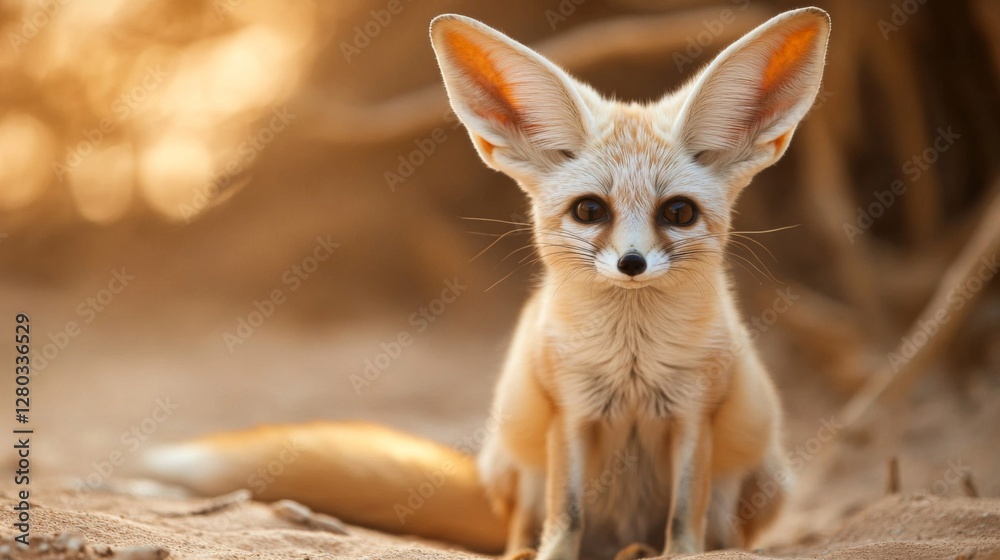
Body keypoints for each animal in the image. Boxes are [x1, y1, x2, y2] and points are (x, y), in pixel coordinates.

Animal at [141, 8, 830, 560]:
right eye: (590, 211)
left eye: (678, 213)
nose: (631, 264)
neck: (631, 364)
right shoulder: (569, 412)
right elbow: (565, 518)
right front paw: (551, 556)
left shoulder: (694, 415)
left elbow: (685, 521)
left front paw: (677, 556)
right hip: (516, 462)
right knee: (521, 530)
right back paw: (545, 550)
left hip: (758, 479)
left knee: (721, 537)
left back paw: (645, 549)